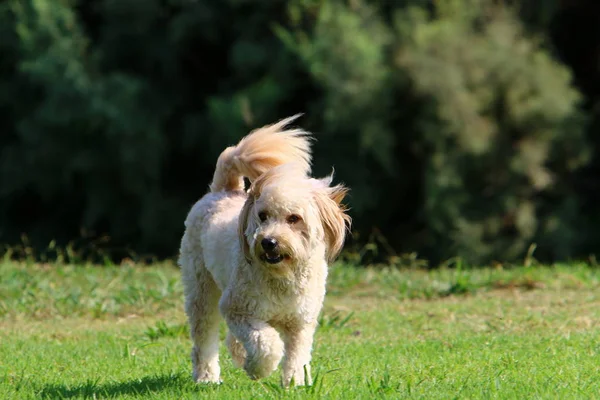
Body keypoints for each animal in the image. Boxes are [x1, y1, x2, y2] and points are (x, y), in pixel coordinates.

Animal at [178, 115, 352, 388]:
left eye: (294, 218)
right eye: (262, 216)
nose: (268, 241)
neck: (282, 276)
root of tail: (222, 191)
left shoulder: (300, 322)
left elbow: (297, 354)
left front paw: (294, 383)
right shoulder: (237, 309)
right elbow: (267, 345)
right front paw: (258, 369)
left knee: (230, 340)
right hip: (201, 289)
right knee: (204, 338)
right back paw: (207, 377)